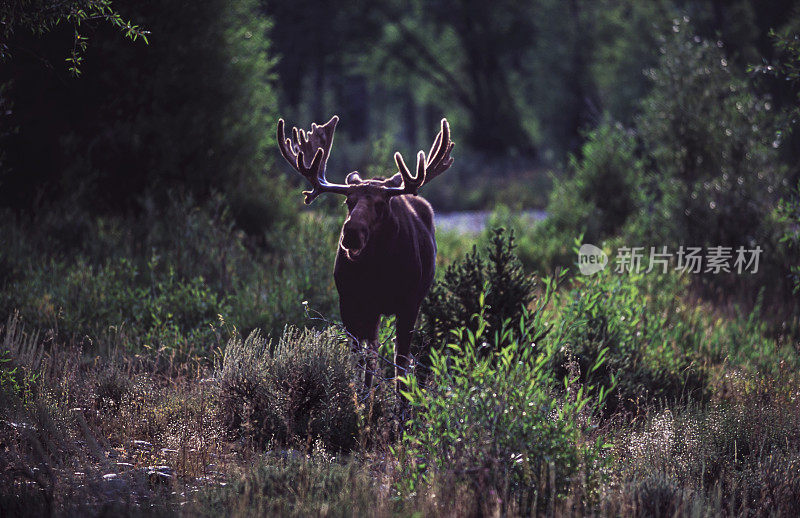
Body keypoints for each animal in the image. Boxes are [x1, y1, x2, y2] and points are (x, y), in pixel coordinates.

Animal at [276, 115, 454, 390]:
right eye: (348, 201)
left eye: (381, 204)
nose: (350, 233)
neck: (377, 271)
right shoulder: (351, 302)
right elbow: (360, 360)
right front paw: (360, 398)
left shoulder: (409, 303)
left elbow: (401, 362)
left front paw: (403, 400)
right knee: (372, 351)